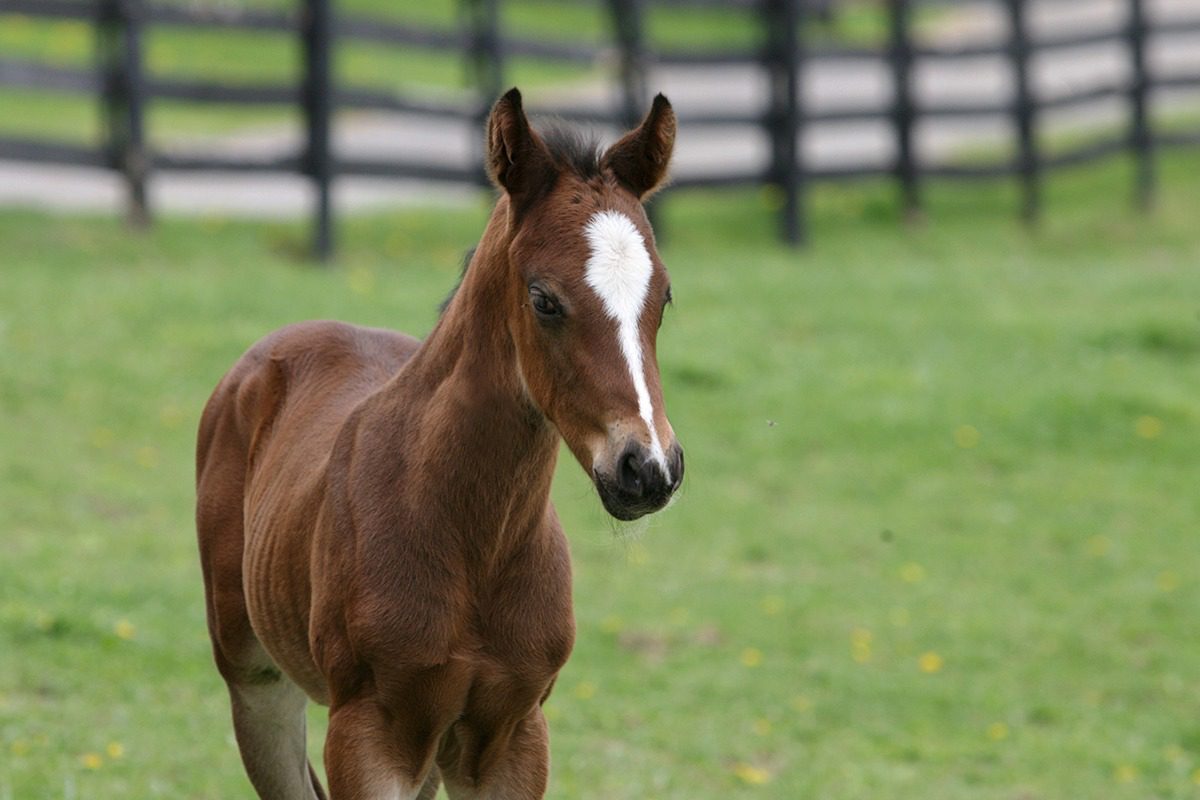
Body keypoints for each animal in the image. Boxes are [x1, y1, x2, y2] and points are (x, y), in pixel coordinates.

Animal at [194, 87, 684, 800]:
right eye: (543, 299)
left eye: (664, 296)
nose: (647, 468)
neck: (469, 538)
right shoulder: (369, 735)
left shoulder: (514, 735)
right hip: (255, 681)